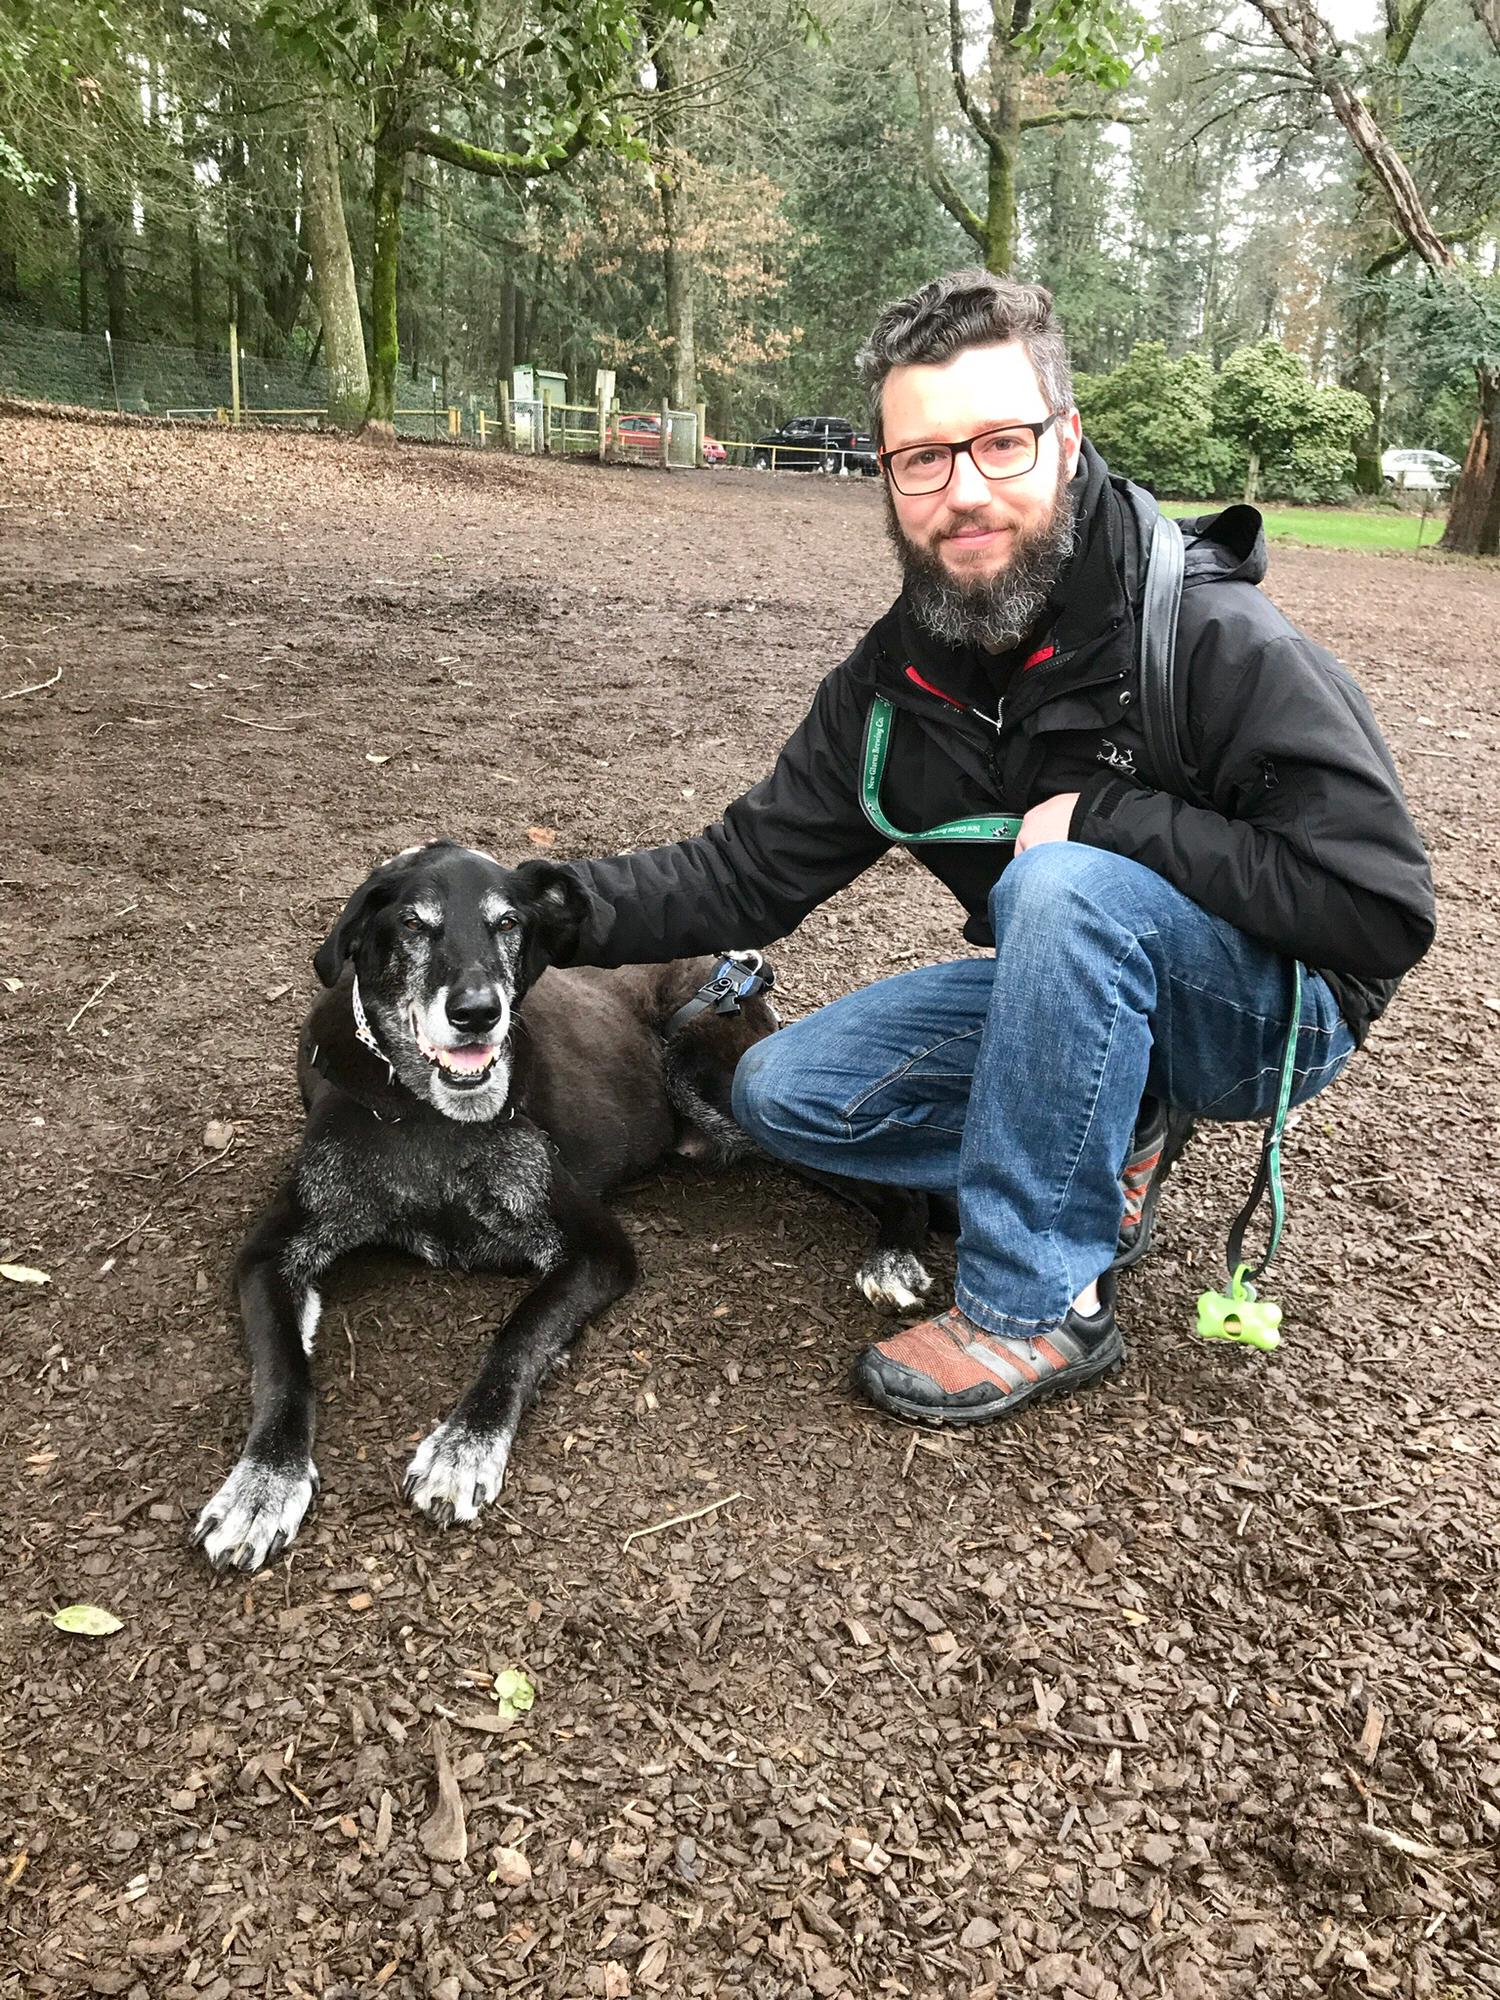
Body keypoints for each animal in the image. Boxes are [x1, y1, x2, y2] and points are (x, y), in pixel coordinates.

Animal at [194, 836, 780, 1568]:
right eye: (413, 924)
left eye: (508, 923)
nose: (476, 1013)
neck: (424, 1112)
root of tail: (728, 964)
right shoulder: (270, 1252)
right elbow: (282, 1369)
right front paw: (262, 1483)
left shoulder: (597, 1245)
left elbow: (519, 1334)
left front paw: (465, 1447)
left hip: (719, 1079)